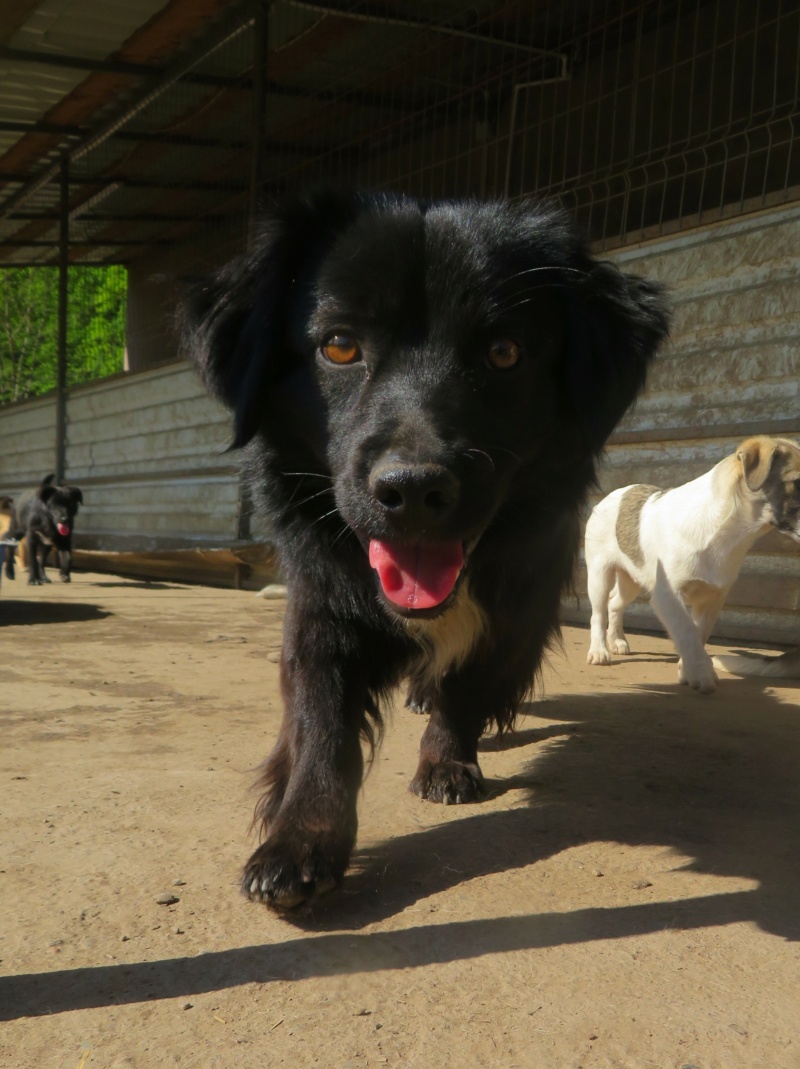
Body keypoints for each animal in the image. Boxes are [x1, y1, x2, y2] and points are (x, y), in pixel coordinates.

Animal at [183, 192, 671, 910]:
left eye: (504, 352)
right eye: (339, 345)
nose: (412, 489)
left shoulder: (517, 609)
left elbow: (470, 686)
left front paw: (447, 757)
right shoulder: (320, 606)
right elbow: (321, 724)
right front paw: (299, 839)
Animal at [581, 434, 800, 692]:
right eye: (797, 482)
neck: (725, 532)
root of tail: (612, 494)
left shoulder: (711, 598)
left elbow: (698, 634)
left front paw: (687, 670)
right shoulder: (667, 595)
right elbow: (686, 630)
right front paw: (701, 673)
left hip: (632, 579)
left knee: (615, 602)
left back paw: (617, 640)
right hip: (599, 575)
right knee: (598, 612)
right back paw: (599, 650)